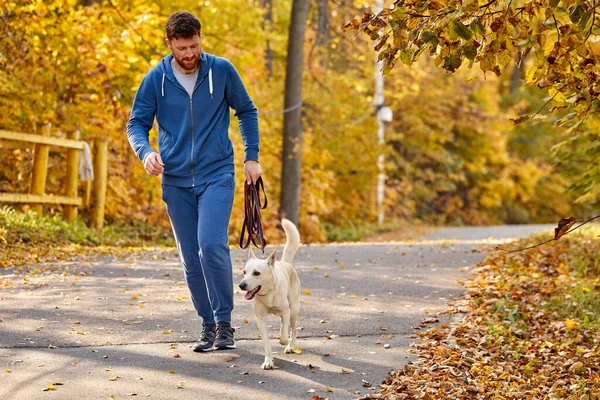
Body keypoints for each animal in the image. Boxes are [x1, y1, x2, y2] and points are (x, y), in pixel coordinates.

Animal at [238, 219, 300, 368]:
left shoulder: (286, 311)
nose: (241, 285)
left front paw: (283, 341)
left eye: (256, 273)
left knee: (293, 330)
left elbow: (284, 336)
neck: (268, 294)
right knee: (284, 323)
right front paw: (268, 361)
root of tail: (285, 263)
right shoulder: (261, 319)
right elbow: (267, 344)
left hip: (293, 310)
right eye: (244, 272)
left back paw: (290, 346)